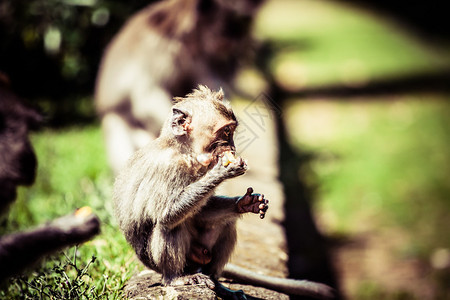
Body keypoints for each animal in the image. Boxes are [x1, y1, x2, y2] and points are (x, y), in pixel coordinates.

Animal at [95, 0, 264, 173]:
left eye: (234, 35)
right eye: (223, 32)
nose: (227, 45)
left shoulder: (203, 57)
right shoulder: (160, 50)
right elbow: (147, 98)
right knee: (116, 121)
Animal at [114, 85, 336, 298]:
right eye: (226, 132)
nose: (233, 147)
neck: (185, 152)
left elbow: (202, 212)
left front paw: (246, 203)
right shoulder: (166, 168)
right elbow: (166, 214)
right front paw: (222, 171)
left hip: (199, 255)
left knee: (226, 222)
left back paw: (217, 282)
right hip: (160, 261)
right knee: (169, 227)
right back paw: (175, 278)